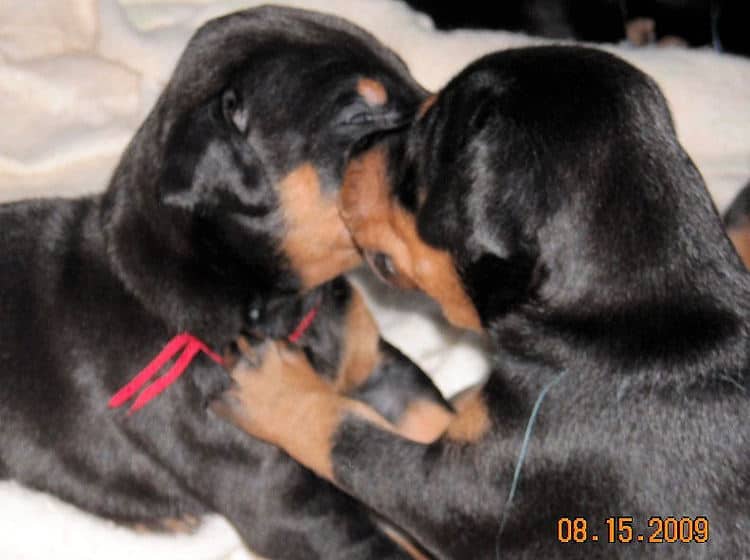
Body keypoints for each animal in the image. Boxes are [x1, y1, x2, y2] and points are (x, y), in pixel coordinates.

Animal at [214, 48, 748, 560]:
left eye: (419, 146)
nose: (355, 149)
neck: (614, 317)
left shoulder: (468, 491)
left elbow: (350, 436)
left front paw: (275, 386)